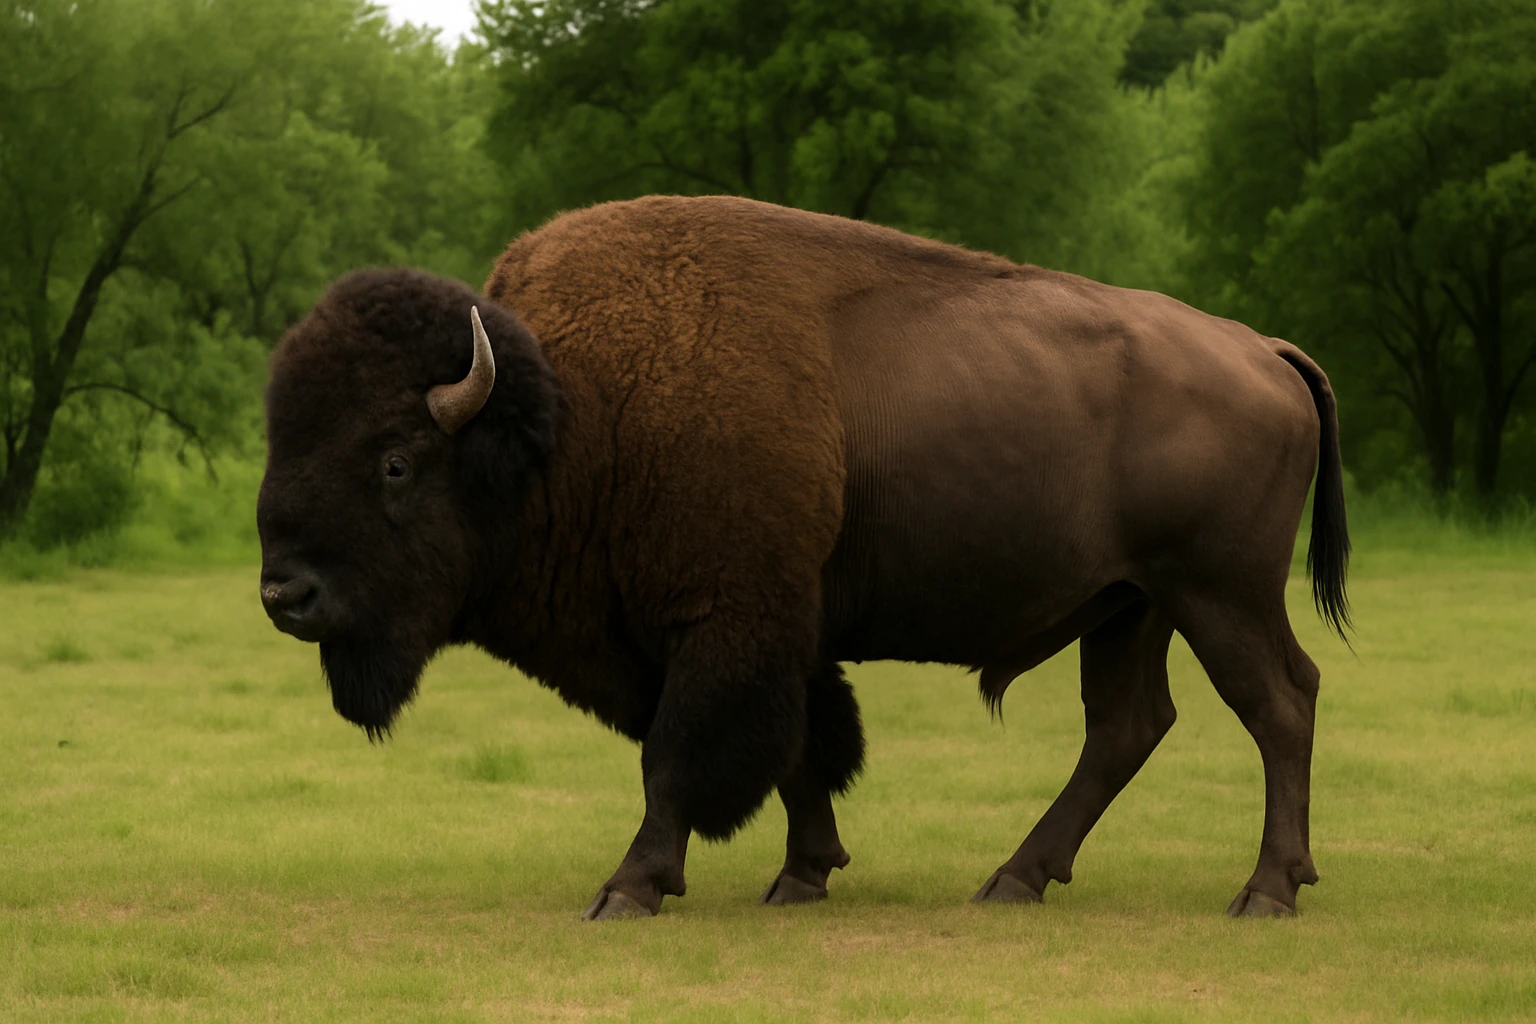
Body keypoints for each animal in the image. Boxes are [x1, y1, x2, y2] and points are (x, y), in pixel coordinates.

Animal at [258, 195, 1349, 920]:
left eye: (394, 461)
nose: (284, 593)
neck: (574, 418)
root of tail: (1263, 349)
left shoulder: (727, 627)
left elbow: (680, 756)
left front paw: (631, 887)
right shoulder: (775, 634)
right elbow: (803, 751)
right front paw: (801, 875)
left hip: (1219, 594)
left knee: (1279, 703)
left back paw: (1265, 890)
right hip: (1132, 605)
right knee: (1128, 726)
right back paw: (1013, 879)